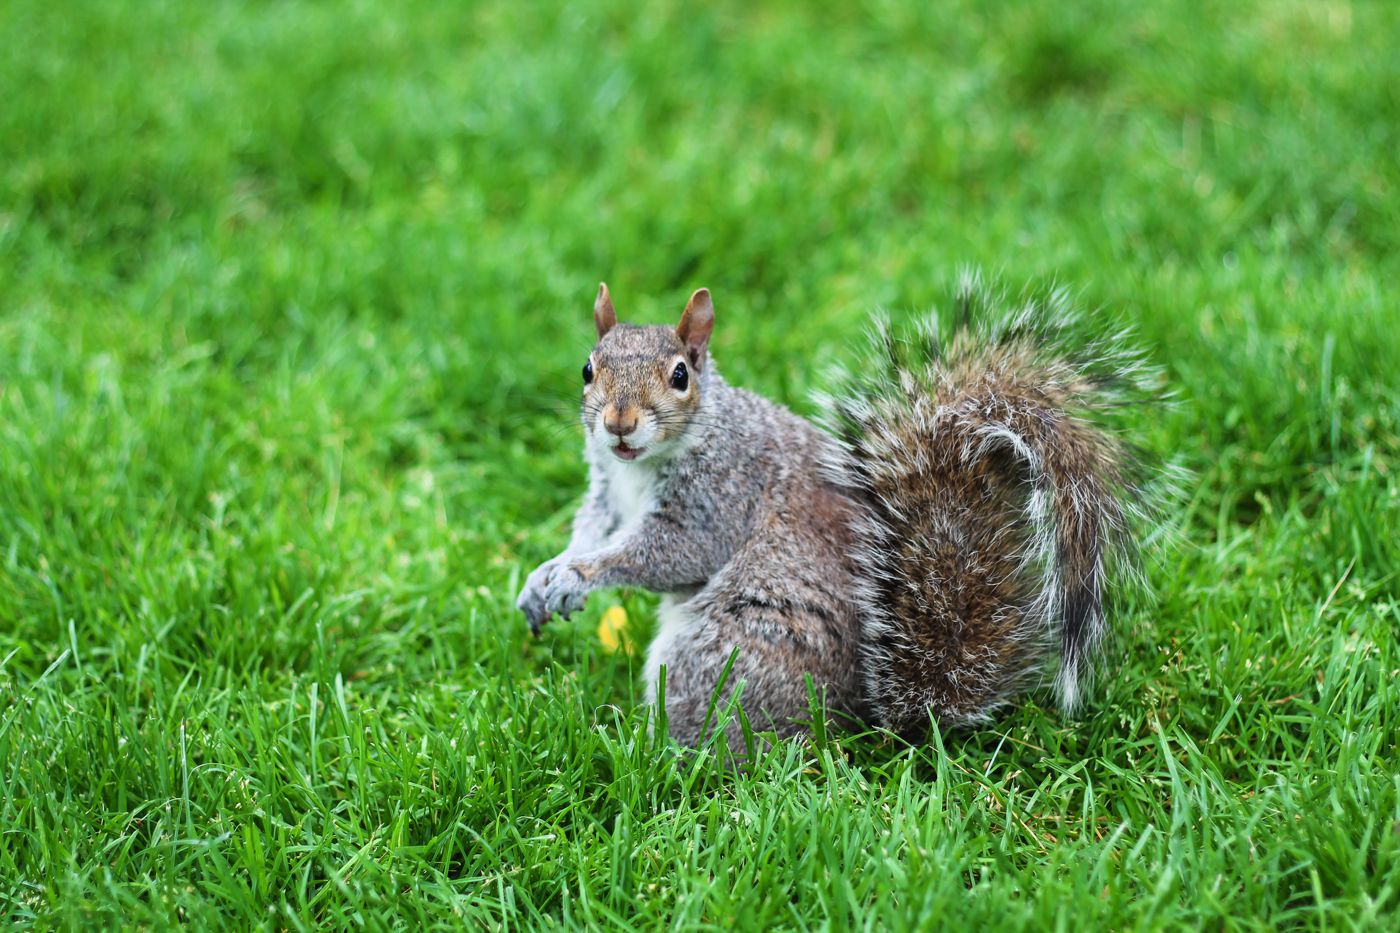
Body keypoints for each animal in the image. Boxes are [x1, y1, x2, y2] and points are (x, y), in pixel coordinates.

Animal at [515, 273, 1159, 745]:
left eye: (679, 376)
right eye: (587, 369)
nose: (618, 424)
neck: (639, 466)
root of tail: (859, 720)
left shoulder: (720, 494)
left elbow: (670, 553)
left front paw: (579, 574)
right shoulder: (605, 490)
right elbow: (593, 527)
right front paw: (545, 576)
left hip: (730, 652)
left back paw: (651, 750)